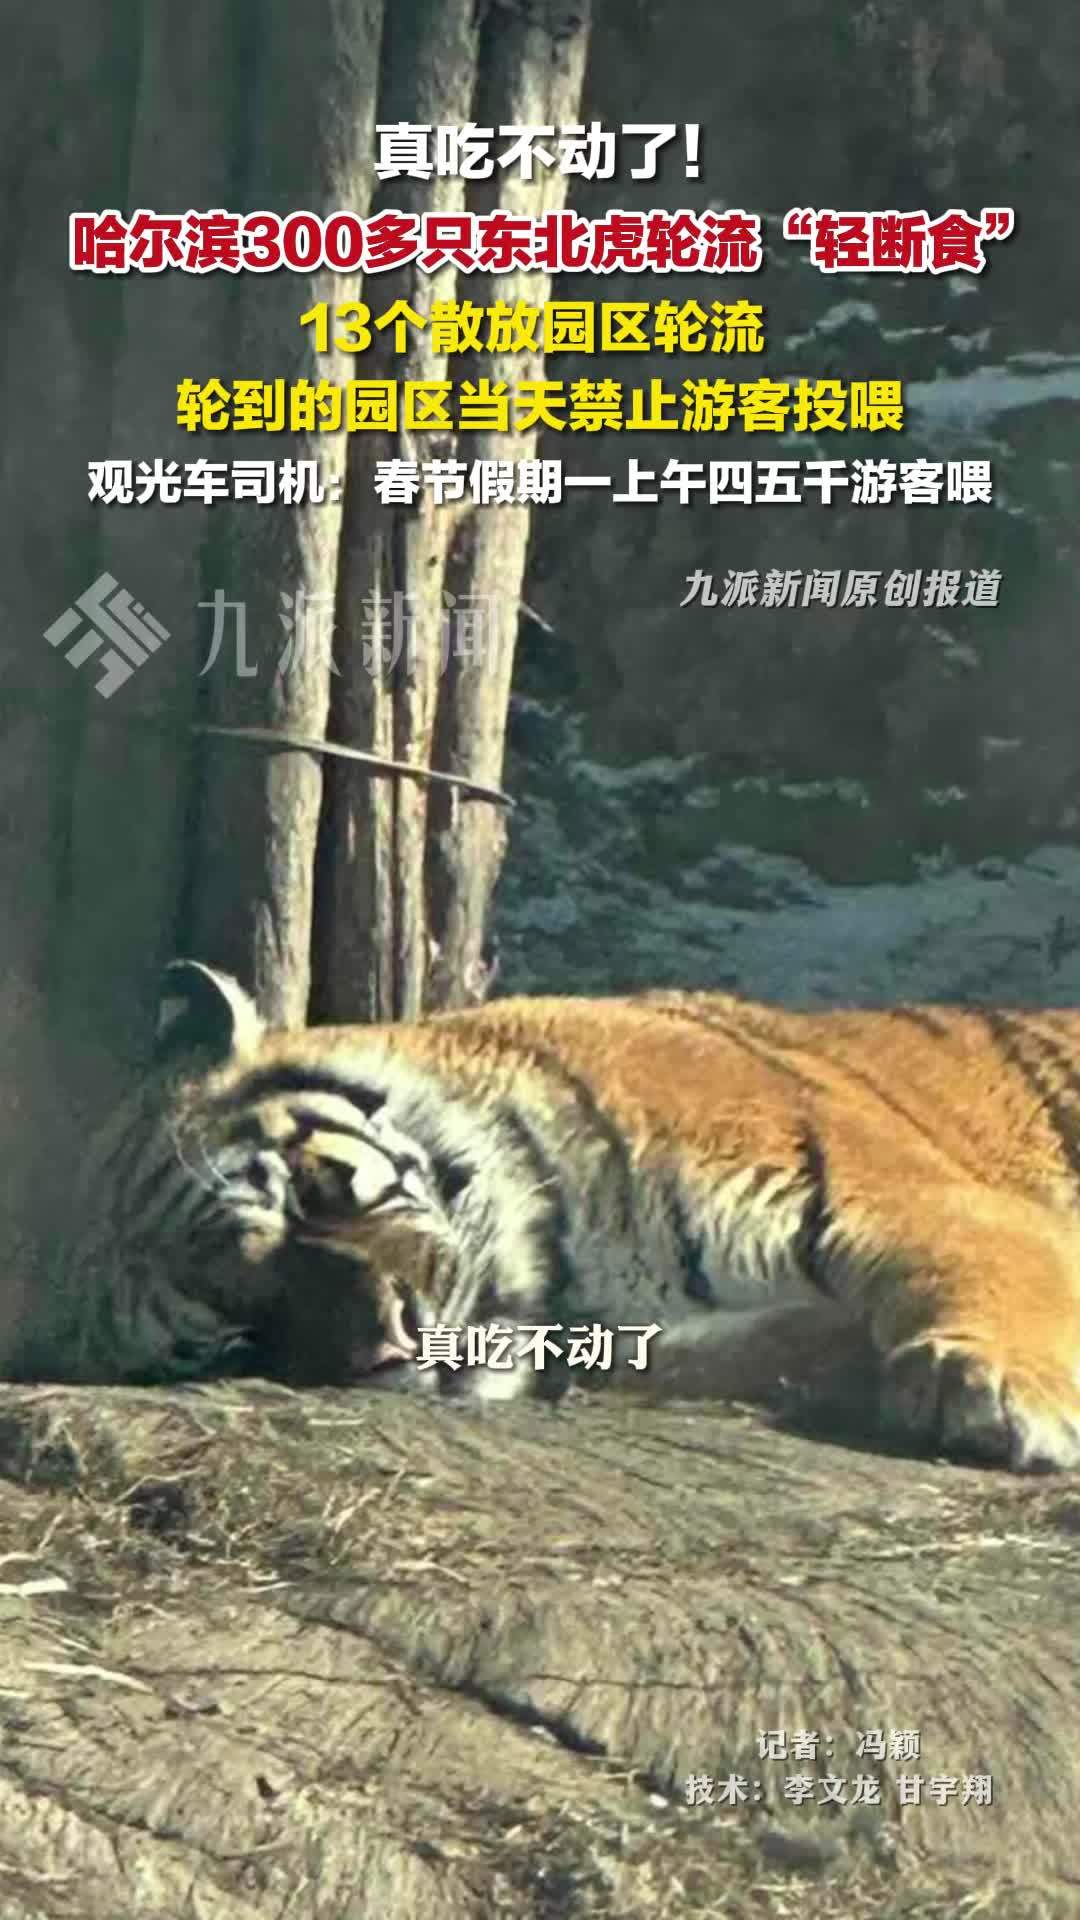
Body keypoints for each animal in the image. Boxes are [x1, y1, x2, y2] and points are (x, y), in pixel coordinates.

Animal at [26, 957, 1080, 1474]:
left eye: (305, 1195)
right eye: (241, 1338)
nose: (387, 1349)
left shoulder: (906, 1196)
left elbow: (981, 1266)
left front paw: (997, 1398)